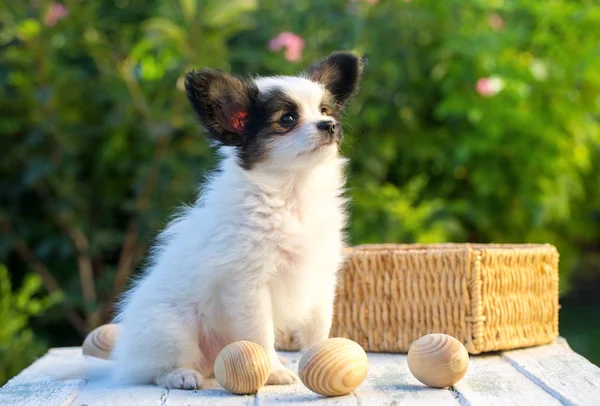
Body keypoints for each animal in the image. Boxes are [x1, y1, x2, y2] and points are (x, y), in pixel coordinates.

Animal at [77, 52, 360, 388]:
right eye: (287, 119)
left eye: (325, 111)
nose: (330, 125)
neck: (292, 193)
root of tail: (123, 361)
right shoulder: (247, 285)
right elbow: (260, 333)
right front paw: (273, 373)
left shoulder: (320, 278)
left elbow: (319, 327)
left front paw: (321, 356)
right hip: (173, 327)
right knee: (156, 370)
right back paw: (181, 375)